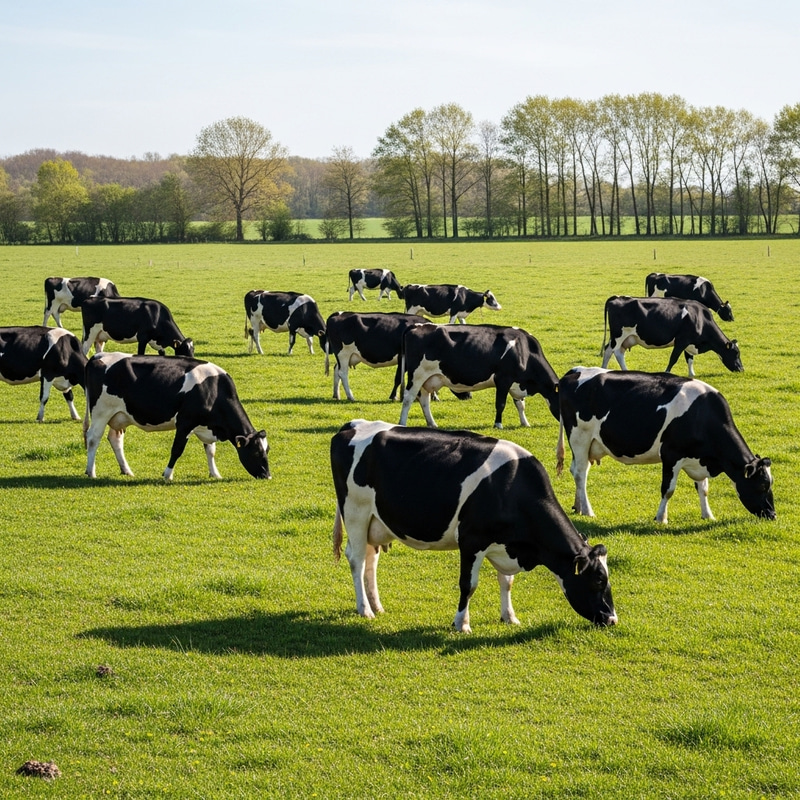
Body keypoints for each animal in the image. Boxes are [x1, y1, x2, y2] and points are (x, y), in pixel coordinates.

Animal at [83, 352, 270, 481]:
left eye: (267, 450)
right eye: (256, 452)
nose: (267, 476)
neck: (214, 389)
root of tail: (98, 356)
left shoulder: (205, 424)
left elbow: (210, 450)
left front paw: (215, 473)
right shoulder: (185, 423)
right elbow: (177, 449)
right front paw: (167, 474)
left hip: (119, 416)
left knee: (115, 439)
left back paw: (127, 470)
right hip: (101, 412)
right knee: (93, 438)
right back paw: (91, 472)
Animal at [331, 419, 617, 631]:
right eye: (598, 580)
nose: (612, 619)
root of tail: (353, 425)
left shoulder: (506, 543)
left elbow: (507, 582)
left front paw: (509, 616)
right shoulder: (471, 541)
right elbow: (468, 585)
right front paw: (461, 623)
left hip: (376, 521)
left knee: (371, 560)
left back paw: (376, 605)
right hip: (355, 512)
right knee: (357, 559)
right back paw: (365, 609)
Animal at [398, 323, 560, 429]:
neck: (524, 351)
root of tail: (418, 326)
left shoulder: (516, 382)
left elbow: (520, 405)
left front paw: (525, 423)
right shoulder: (503, 379)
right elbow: (500, 404)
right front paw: (498, 424)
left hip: (428, 378)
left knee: (424, 400)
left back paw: (432, 424)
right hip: (417, 375)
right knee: (408, 399)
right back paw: (402, 424)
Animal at [556, 367, 775, 523]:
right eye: (762, 485)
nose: (772, 514)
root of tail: (574, 372)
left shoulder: (698, 457)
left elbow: (703, 488)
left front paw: (708, 515)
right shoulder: (671, 455)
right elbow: (668, 489)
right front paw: (661, 518)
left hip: (589, 443)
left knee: (578, 470)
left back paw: (579, 506)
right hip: (580, 437)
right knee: (581, 473)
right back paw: (588, 511)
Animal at [601, 295, 742, 377]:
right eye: (736, 353)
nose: (741, 369)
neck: (700, 318)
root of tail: (617, 297)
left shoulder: (689, 342)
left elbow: (689, 359)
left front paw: (692, 374)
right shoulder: (681, 341)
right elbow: (673, 359)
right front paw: (667, 373)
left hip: (625, 338)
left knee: (615, 351)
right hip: (619, 335)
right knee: (611, 351)